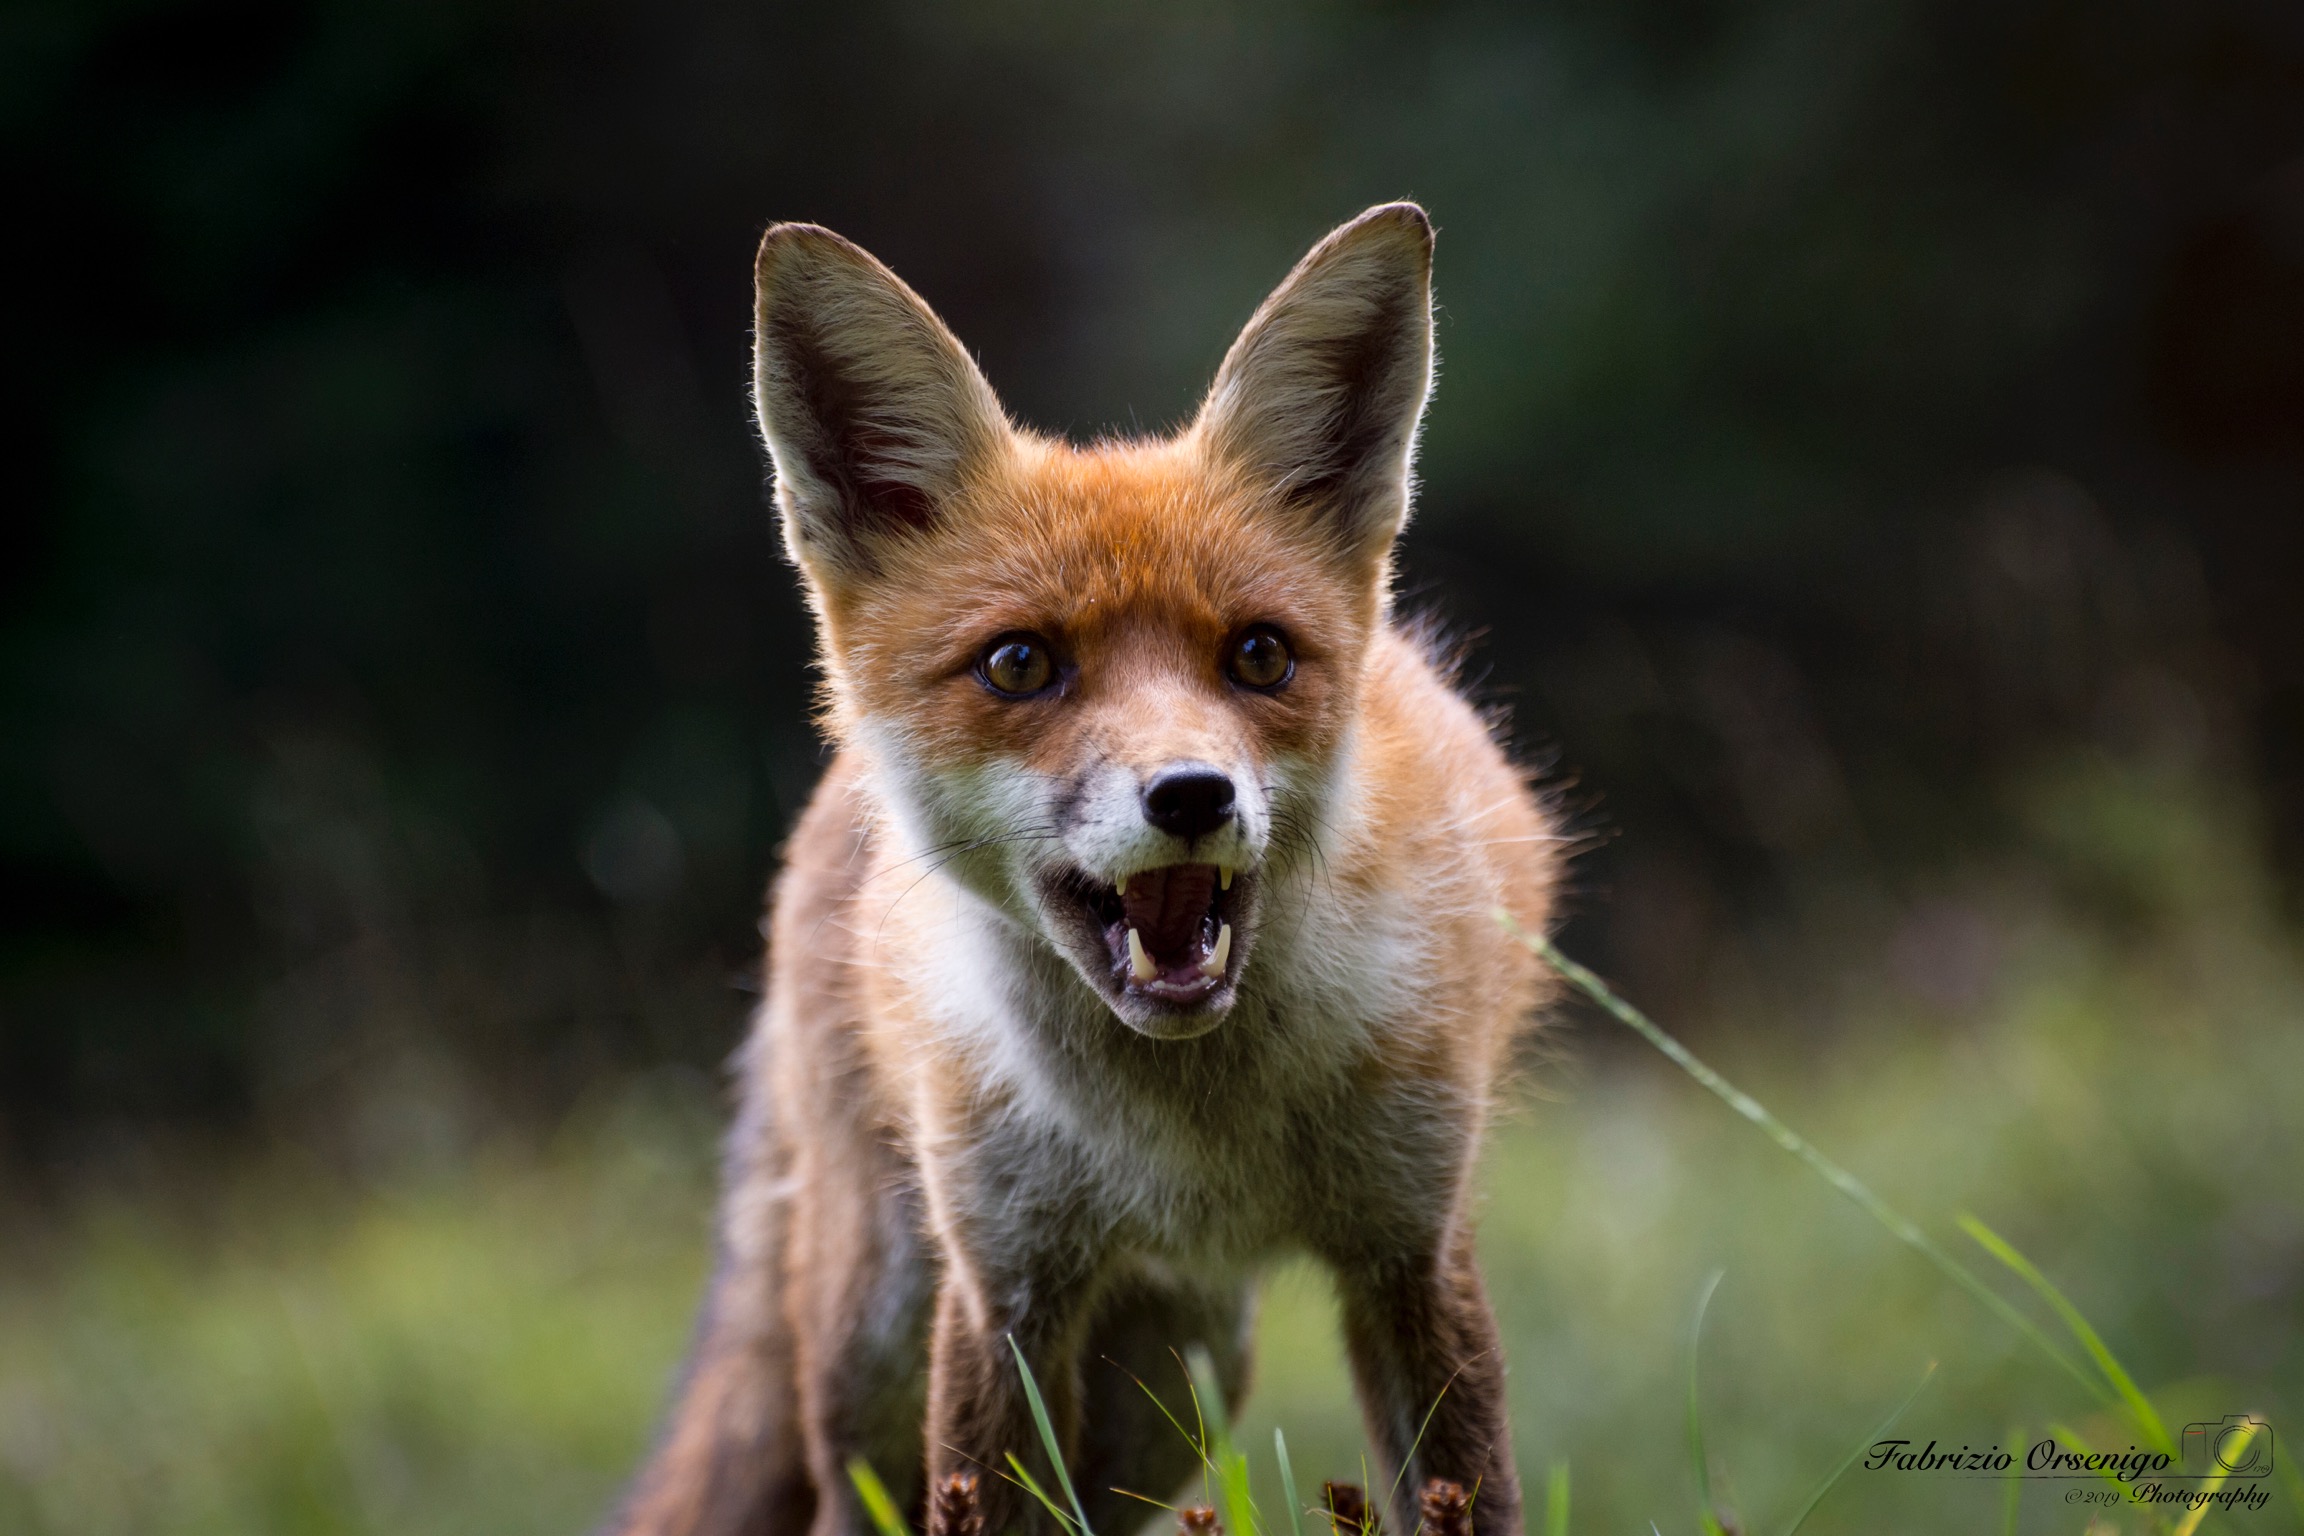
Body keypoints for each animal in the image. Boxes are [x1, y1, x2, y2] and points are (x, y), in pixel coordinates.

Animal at [609, 202, 1560, 1536]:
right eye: (1019, 665)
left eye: (1259, 656)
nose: (1193, 794)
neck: (1191, 1141)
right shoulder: (1004, 1294)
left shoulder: (1412, 1256)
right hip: (883, 1340)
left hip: (1179, 1389)